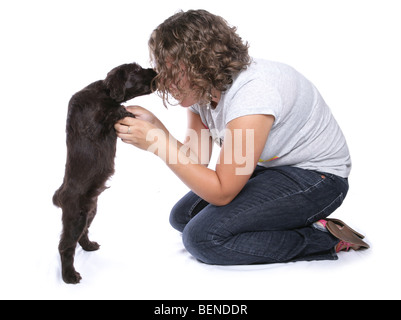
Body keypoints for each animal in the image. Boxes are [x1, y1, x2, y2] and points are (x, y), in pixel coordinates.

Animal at [54, 63, 156, 284]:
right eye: (136, 70)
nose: (155, 71)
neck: (105, 92)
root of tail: (60, 196)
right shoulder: (95, 123)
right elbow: (113, 112)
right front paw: (124, 111)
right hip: (75, 217)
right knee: (65, 246)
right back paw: (69, 276)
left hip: (90, 212)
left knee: (83, 233)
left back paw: (89, 246)